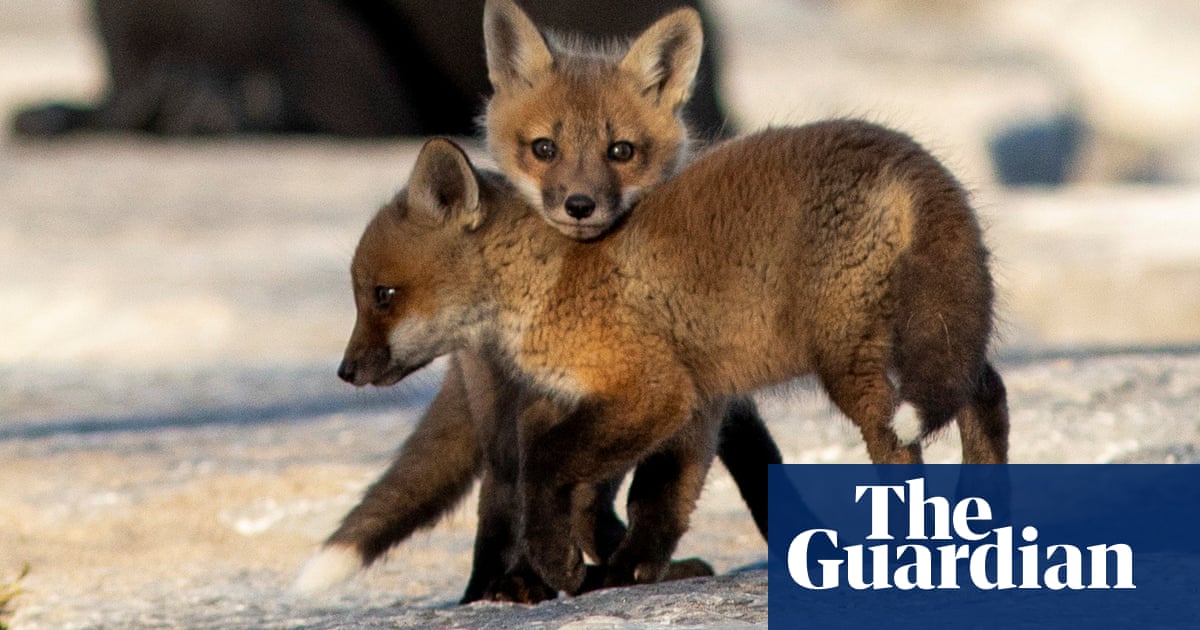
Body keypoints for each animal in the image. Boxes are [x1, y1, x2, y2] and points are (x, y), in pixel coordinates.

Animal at [296, 0, 778, 603]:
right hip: (501, 424)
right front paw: (573, 567)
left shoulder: (685, 393)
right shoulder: (553, 409)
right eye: (544, 149)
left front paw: (624, 564)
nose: (345, 370)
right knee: (503, 503)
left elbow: (676, 482)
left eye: (621, 152)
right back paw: (501, 585)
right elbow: (555, 491)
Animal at [333, 120, 1010, 594]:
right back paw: (981, 516)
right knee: (987, 395)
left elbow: (551, 467)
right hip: (933, 335)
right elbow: (651, 498)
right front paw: (620, 571)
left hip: (849, 359)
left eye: (383, 296)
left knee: (900, 445)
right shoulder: (689, 401)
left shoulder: (654, 390)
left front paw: (566, 567)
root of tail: (909, 159)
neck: (552, 282)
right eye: (364, 297)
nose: (345, 372)